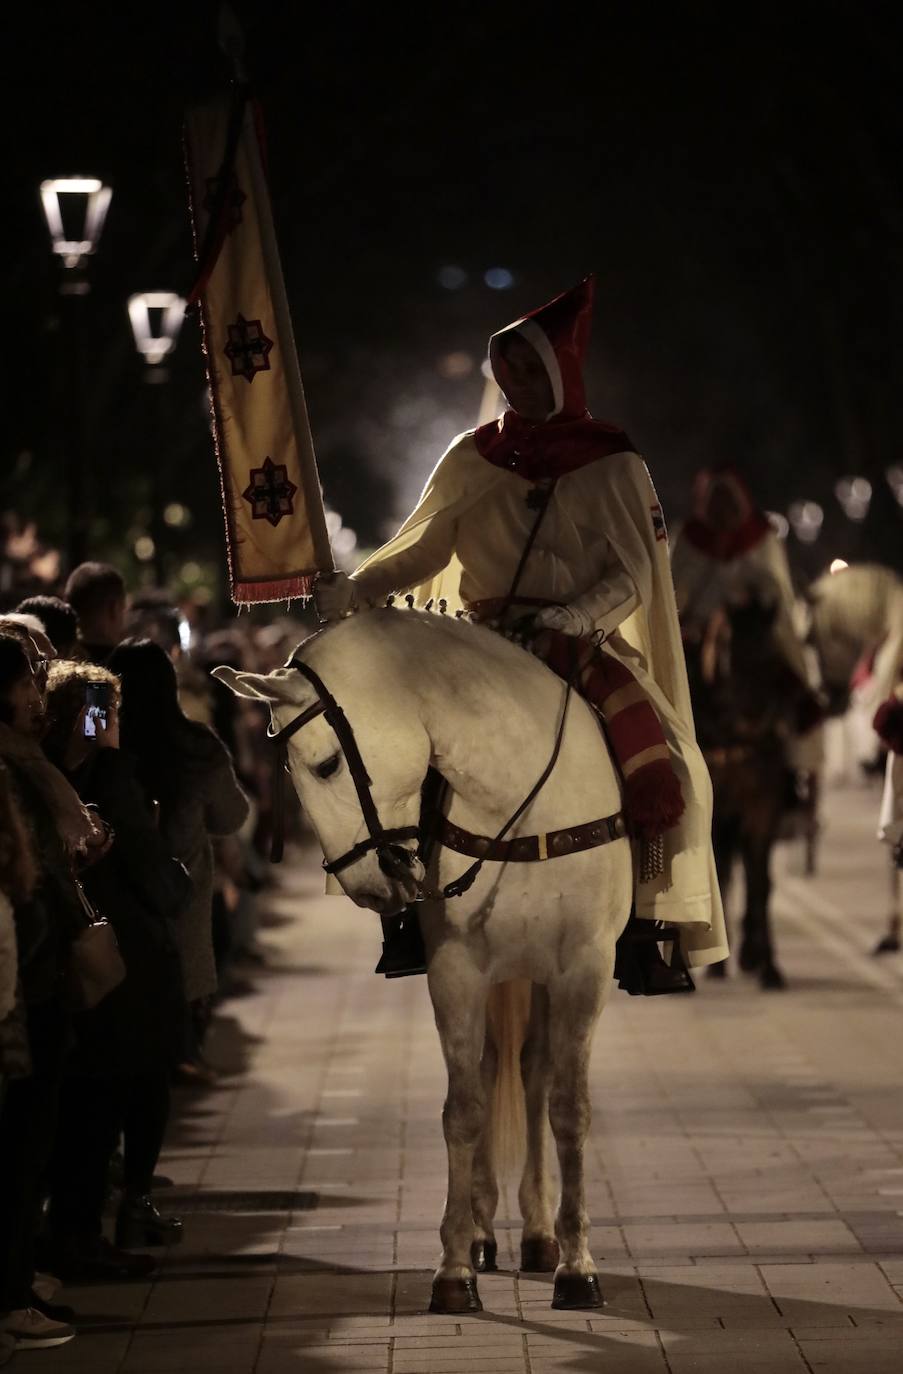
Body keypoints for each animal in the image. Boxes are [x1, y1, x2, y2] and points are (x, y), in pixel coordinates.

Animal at [214, 615, 629, 1319]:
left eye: (326, 763)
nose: (364, 886)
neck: (520, 802)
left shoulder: (583, 967)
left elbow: (570, 1109)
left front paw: (578, 1266)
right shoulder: (457, 970)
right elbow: (464, 1108)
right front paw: (455, 1266)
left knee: (536, 1076)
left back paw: (542, 1235)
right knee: (501, 1072)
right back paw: (495, 1233)